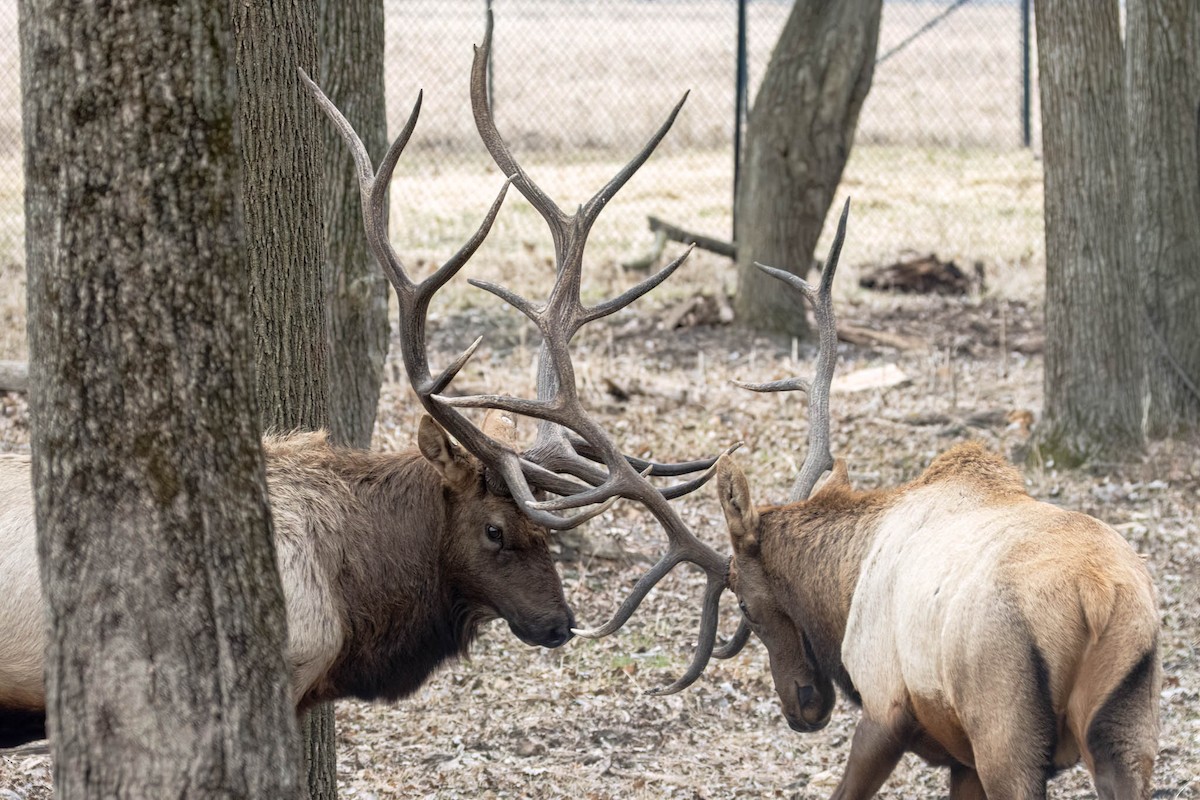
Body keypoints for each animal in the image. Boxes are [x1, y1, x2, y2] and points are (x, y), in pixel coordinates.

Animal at [711, 202, 1162, 799]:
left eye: (742, 601)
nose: (801, 708)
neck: (845, 581)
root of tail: (1101, 595)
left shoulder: (885, 708)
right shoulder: (960, 759)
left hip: (1006, 732)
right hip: (1128, 732)